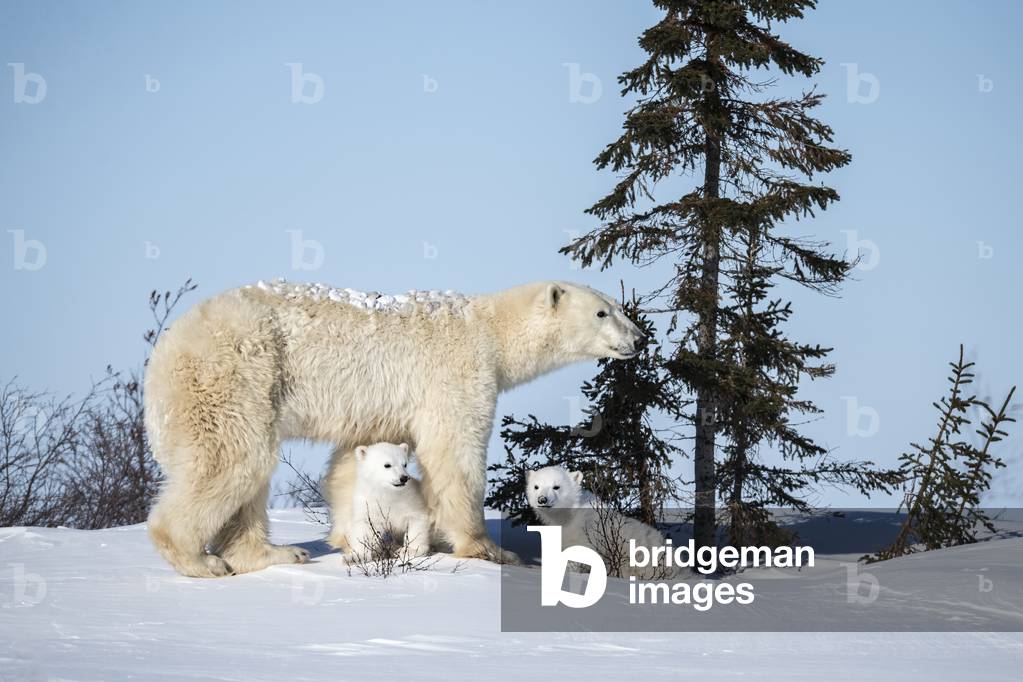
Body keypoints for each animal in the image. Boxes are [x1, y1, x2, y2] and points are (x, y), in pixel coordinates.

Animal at [144, 279, 644, 577]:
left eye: (618, 306)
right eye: (603, 312)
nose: (639, 338)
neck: (487, 329)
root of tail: (167, 345)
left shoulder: (375, 406)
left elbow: (349, 463)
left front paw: (348, 535)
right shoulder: (456, 374)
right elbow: (454, 451)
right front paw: (490, 550)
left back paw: (273, 553)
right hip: (236, 374)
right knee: (233, 459)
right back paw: (200, 559)